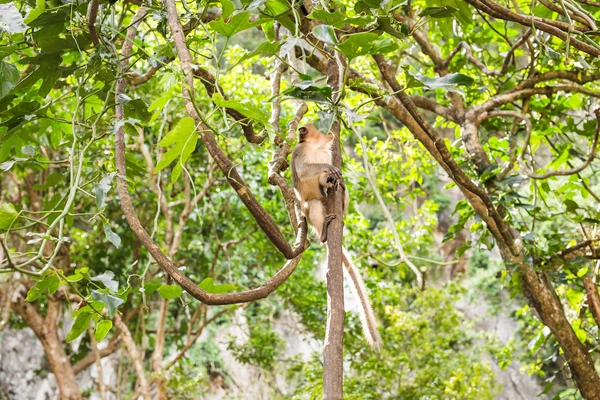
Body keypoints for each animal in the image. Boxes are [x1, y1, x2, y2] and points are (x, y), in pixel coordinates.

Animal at [292, 123, 384, 348]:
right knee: (314, 202)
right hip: (312, 208)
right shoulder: (299, 152)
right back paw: (324, 233)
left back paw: (339, 196)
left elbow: (330, 175)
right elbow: (305, 169)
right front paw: (326, 169)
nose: (331, 132)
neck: (315, 146)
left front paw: (330, 178)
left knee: (342, 189)